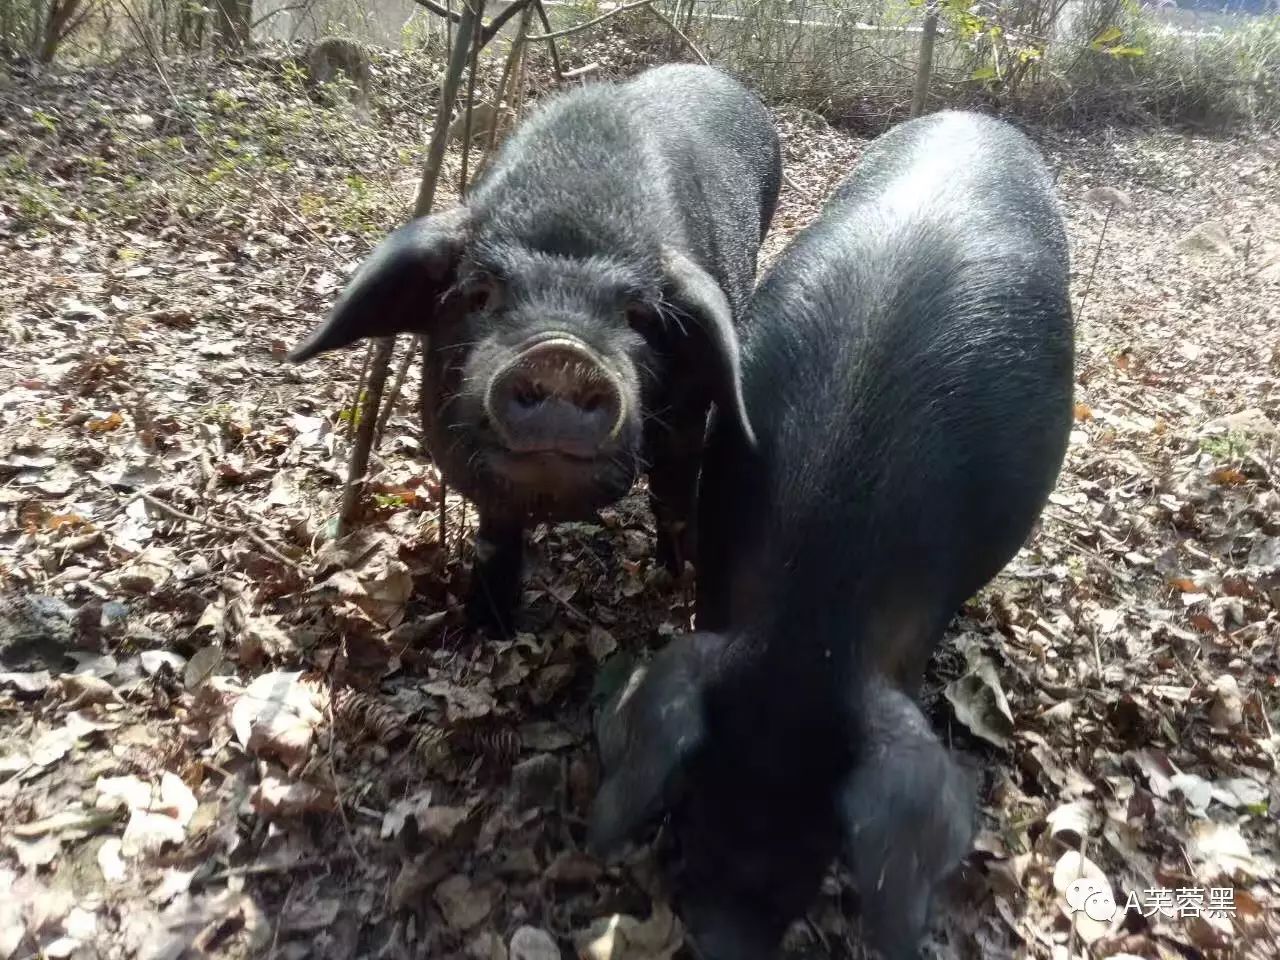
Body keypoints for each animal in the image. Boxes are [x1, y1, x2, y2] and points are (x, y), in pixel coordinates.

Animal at [286, 69, 778, 640]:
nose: (561, 353)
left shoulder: (688, 418)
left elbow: (672, 496)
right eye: (479, 294)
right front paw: (487, 626)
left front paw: (676, 583)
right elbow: (496, 534)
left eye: (638, 315)